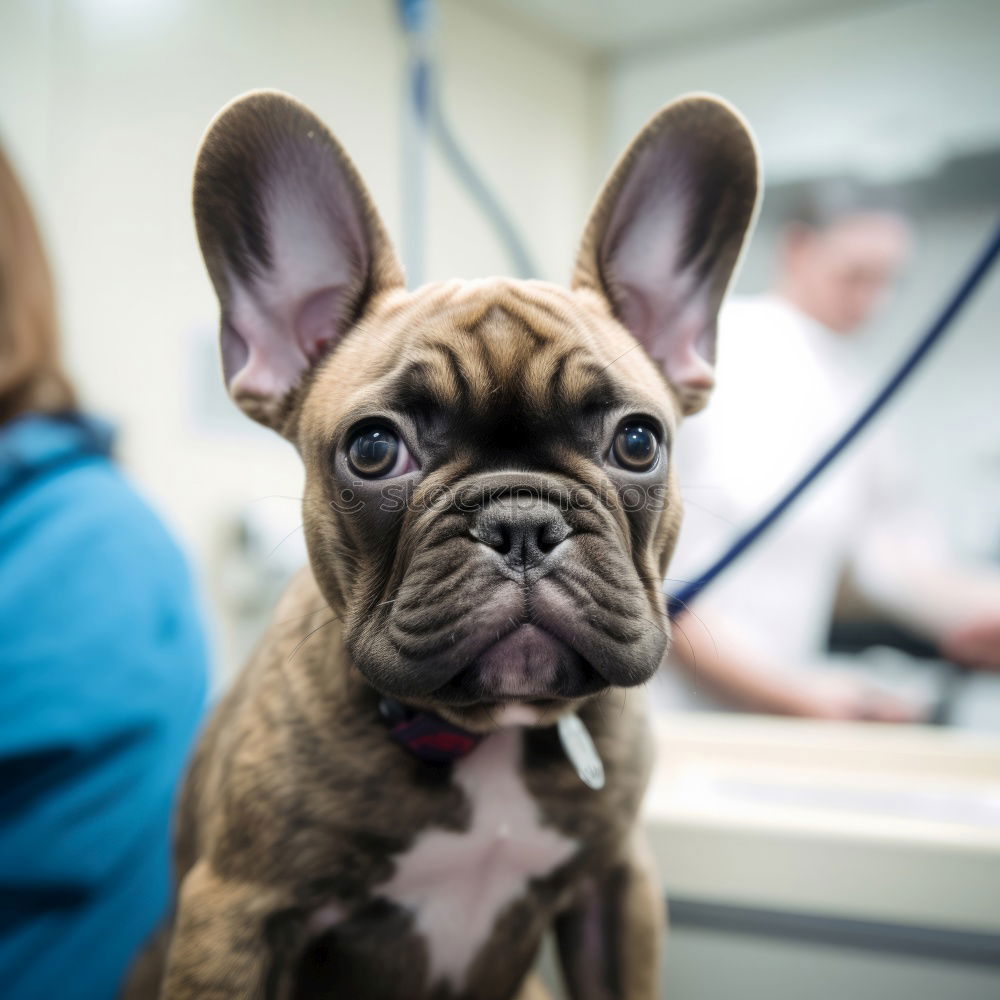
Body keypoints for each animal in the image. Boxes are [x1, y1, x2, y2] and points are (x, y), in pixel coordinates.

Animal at [131, 88, 756, 1000]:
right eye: (372, 450)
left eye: (638, 441)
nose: (522, 521)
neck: (487, 735)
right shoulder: (236, 913)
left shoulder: (616, 887)